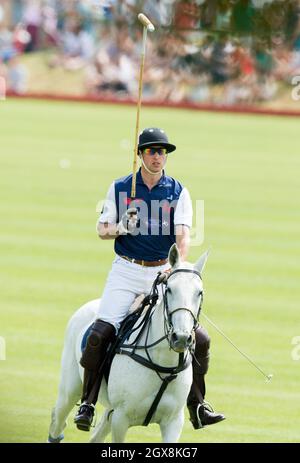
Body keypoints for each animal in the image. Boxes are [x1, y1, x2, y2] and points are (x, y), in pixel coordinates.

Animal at [48, 245, 209, 444]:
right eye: (169, 289)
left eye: (199, 292)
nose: (181, 337)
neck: (163, 363)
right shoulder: (121, 417)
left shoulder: (173, 420)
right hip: (70, 389)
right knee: (58, 419)